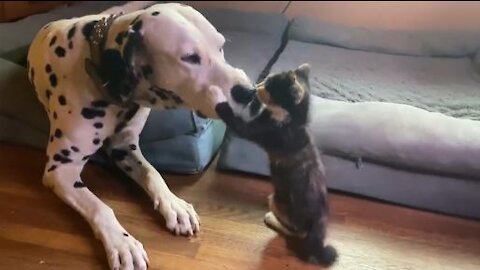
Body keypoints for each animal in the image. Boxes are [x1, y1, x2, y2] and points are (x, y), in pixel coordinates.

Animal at [25, 2, 249, 270]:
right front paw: (122, 243)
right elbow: (100, 207)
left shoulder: (125, 148)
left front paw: (173, 204)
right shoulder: (60, 170)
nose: (249, 93)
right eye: (189, 58)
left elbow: (153, 173)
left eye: (221, 46)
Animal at [209, 63, 338, 268]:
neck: (292, 118)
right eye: (267, 80)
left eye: (270, 87)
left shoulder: (262, 130)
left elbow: (238, 122)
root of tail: (320, 218)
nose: (258, 85)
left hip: (280, 201)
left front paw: (220, 101)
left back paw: (272, 219)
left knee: (298, 230)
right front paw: (242, 90)